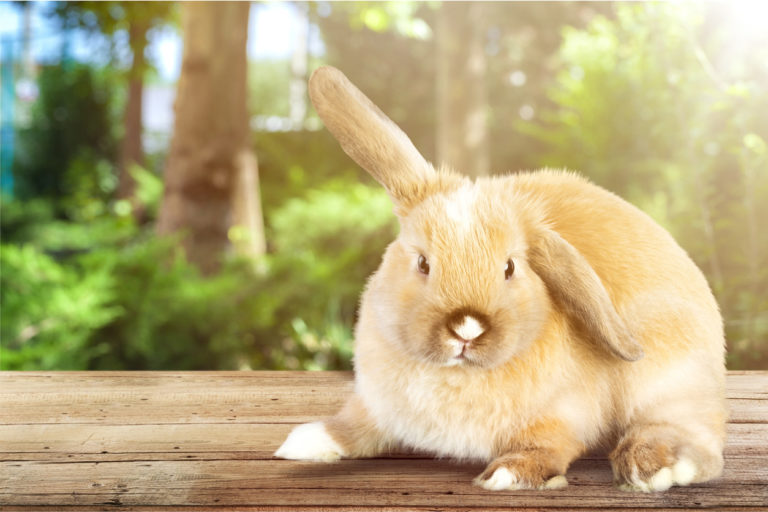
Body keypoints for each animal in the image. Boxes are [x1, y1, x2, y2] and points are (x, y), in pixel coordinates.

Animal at [275, 66, 727, 493]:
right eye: (422, 262)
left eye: (510, 267)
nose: (467, 327)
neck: (455, 374)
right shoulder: (374, 405)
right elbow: (354, 426)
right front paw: (307, 441)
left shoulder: (562, 415)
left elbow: (545, 444)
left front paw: (509, 474)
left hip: (666, 373)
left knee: (695, 437)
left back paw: (650, 467)